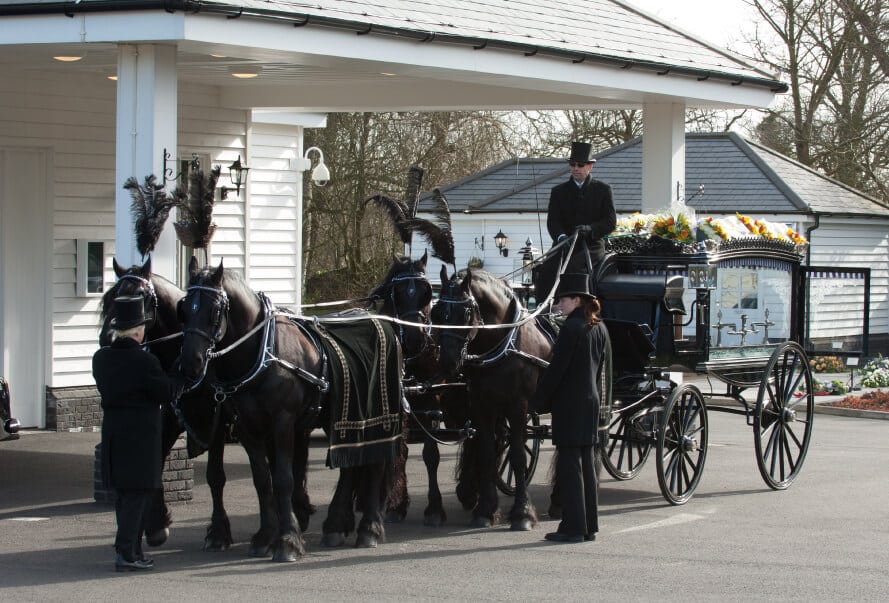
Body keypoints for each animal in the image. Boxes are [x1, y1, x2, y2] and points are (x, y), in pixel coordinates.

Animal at [179, 258, 400, 560]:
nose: (191, 362)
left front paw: (288, 540)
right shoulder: (247, 426)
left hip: (377, 414)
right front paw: (265, 536)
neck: (263, 351)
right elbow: (263, 479)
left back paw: (370, 528)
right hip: (342, 415)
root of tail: (379, 318)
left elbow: (284, 478)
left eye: (214, 310)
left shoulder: (282, 422)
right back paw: (335, 525)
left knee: (376, 462)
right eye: (183, 307)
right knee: (350, 466)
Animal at [426, 266, 552, 532]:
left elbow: (517, 456)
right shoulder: (482, 406)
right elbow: (485, 454)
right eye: (437, 312)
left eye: (466, 312)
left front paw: (522, 513)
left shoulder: (518, 406)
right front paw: (485, 510)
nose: (447, 363)